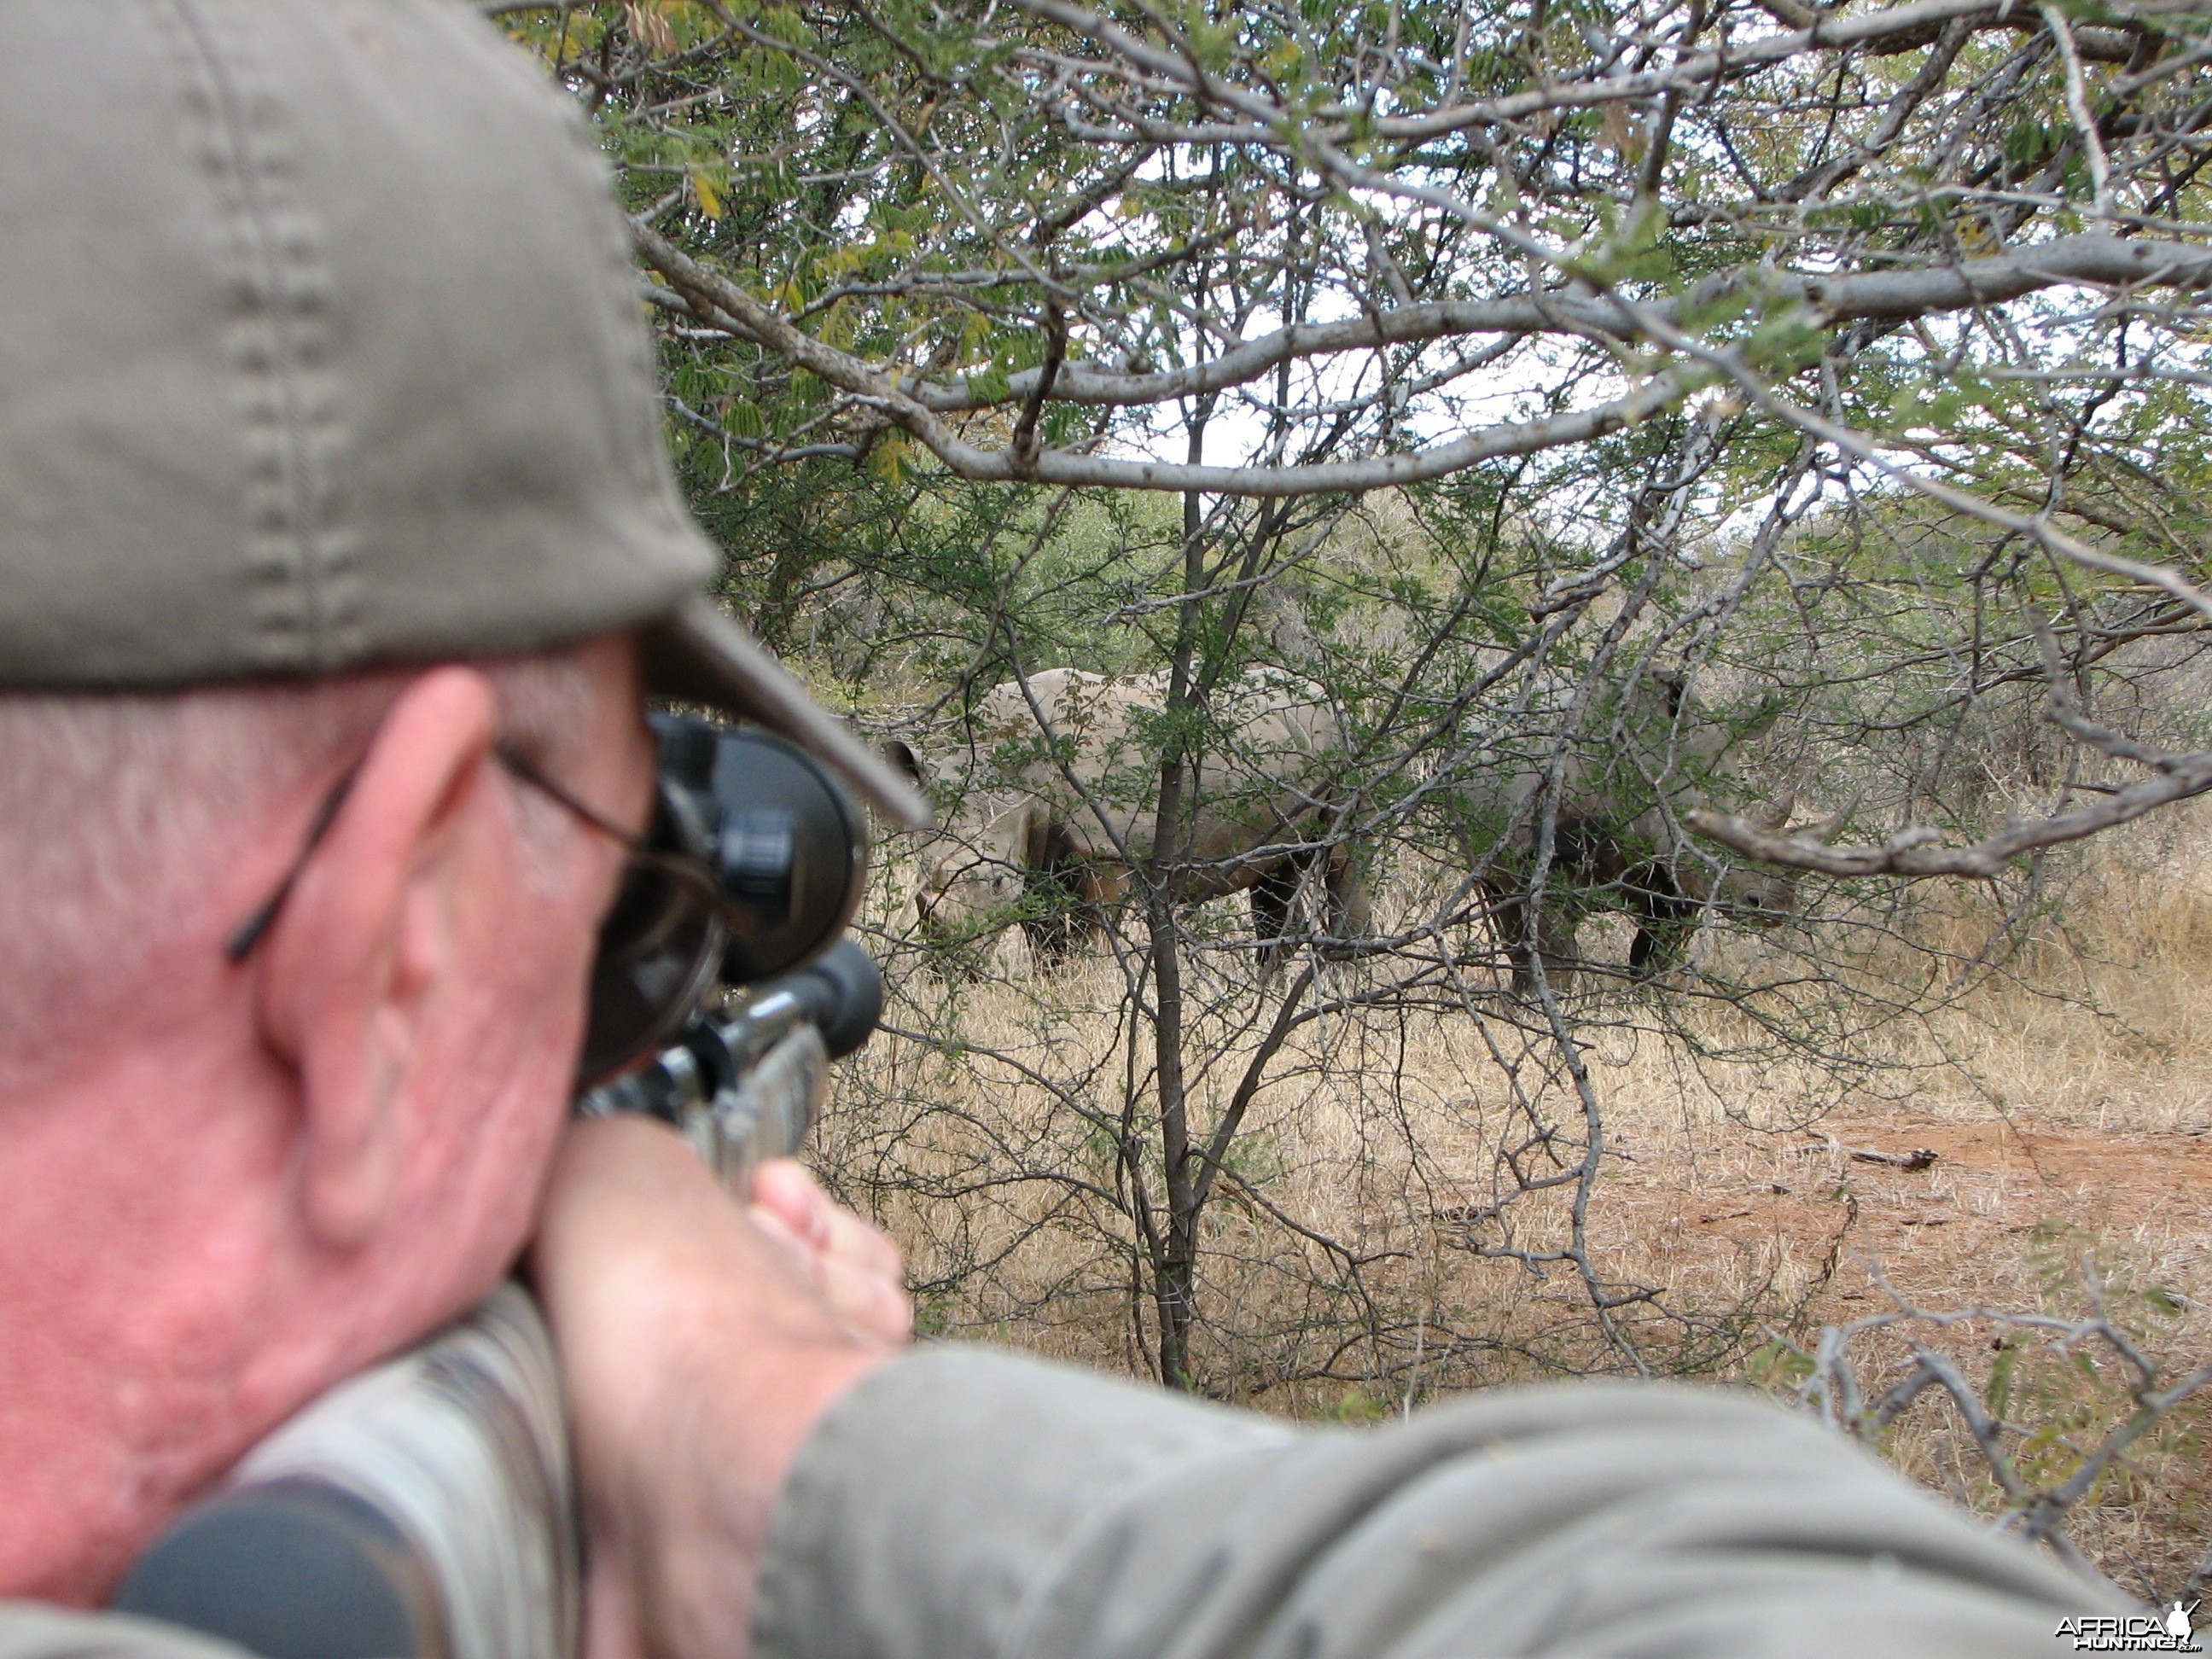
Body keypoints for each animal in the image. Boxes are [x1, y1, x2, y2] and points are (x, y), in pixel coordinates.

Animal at [884, 667, 1362, 969]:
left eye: (997, 882)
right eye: (918, 883)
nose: (948, 963)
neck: (1013, 778)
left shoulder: (1105, 854)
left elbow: (1088, 939)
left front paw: (1085, 993)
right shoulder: (1036, 855)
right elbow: (1045, 942)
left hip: (1344, 738)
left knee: (1343, 862)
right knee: (1278, 876)